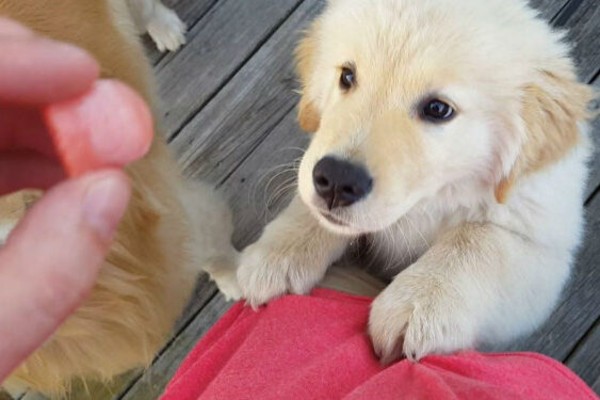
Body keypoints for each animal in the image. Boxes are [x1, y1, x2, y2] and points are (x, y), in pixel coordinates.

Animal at [237, 0, 592, 364]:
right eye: (347, 76)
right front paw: (279, 254)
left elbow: (479, 239)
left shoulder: (542, 245)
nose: (336, 180)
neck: (431, 201)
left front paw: (420, 303)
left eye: (438, 109)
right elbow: (313, 206)